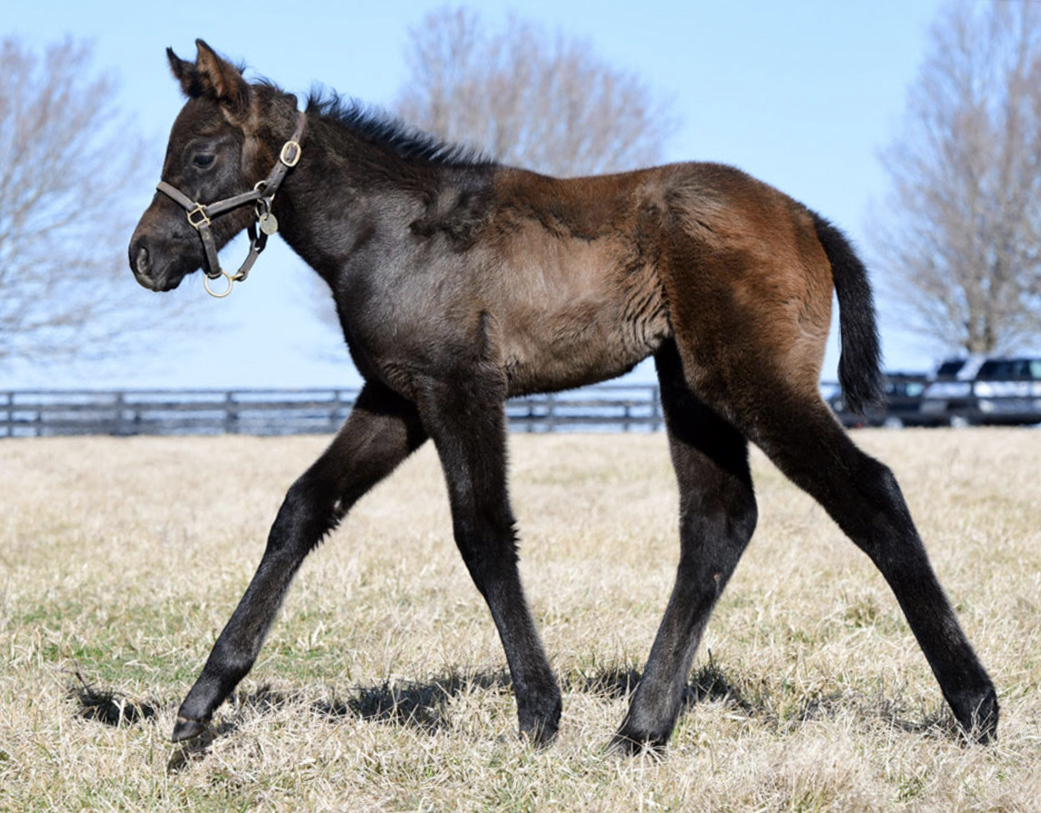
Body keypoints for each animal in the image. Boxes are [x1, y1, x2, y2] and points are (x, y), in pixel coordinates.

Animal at [132, 37, 999, 749]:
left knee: (868, 490)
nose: (143, 256)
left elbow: (482, 531)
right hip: (690, 389)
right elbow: (303, 508)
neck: (392, 230)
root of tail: (803, 218)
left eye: (201, 155)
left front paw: (539, 711)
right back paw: (640, 729)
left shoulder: (460, 387)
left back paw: (975, 705)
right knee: (717, 523)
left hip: (753, 382)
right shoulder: (396, 399)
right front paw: (198, 706)